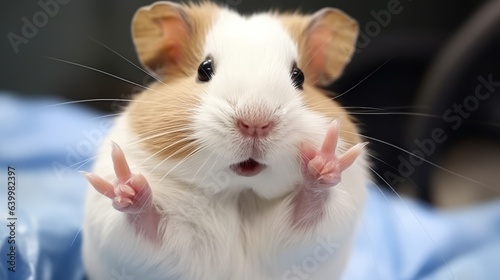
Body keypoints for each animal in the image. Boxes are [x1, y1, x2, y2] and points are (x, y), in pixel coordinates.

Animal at [82, 2, 370, 280]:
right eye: (204, 69)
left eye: (298, 76)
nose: (255, 123)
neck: (240, 191)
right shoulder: (137, 236)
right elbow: (146, 221)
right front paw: (127, 186)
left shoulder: (316, 229)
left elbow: (311, 205)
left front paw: (324, 162)